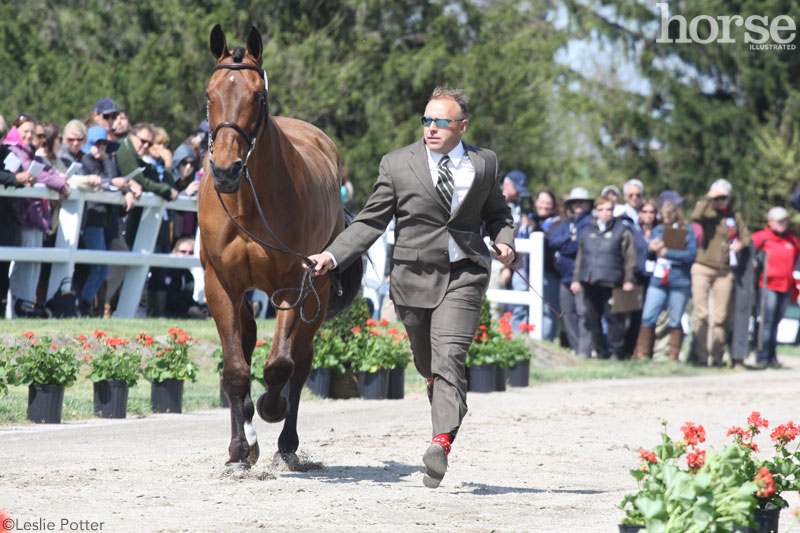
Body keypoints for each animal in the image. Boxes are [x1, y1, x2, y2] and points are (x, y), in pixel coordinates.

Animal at [200, 25, 362, 468]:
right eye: (209, 94)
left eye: (258, 97)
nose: (225, 170)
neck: (248, 201)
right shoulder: (220, 284)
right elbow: (236, 368)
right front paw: (240, 449)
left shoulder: (294, 284)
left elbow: (279, 366)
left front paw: (270, 409)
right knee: (248, 342)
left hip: (317, 292)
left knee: (301, 363)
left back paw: (287, 442)